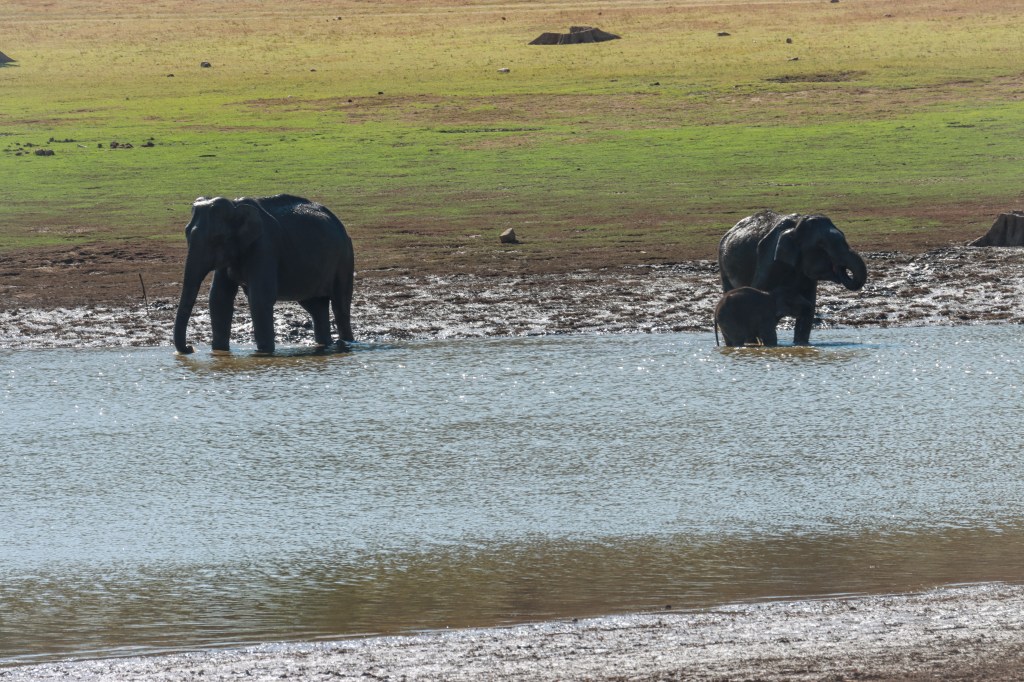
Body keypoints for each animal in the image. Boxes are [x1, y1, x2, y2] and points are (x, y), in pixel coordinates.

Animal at [173, 194, 355, 355]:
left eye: (217, 238)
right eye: (186, 232)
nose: (190, 348)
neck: (235, 206)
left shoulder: (265, 246)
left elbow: (259, 298)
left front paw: (264, 352)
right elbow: (219, 298)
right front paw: (219, 352)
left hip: (344, 257)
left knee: (340, 307)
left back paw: (347, 344)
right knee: (316, 308)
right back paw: (325, 345)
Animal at [718, 210, 867, 344]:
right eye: (821, 245)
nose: (840, 269)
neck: (795, 228)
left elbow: (809, 307)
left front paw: (802, 344)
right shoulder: (768, 260)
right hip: (723, 266)